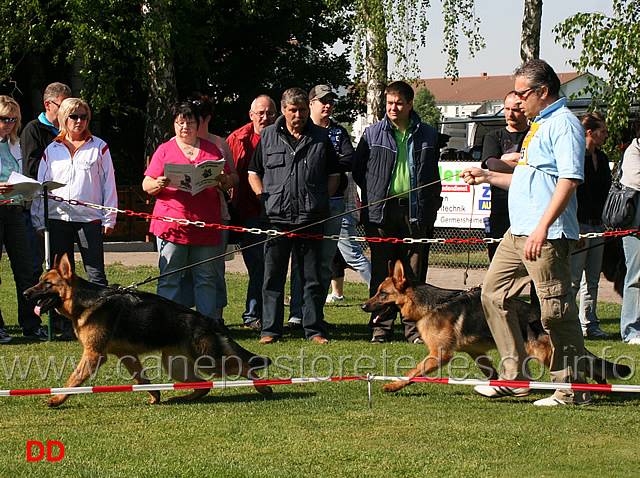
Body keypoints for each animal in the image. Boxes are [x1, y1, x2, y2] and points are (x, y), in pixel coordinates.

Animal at [23, 254, 270, 408]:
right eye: (40, 281)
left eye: (47, 284)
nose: (25, 294)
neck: (86, 301)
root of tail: (208, 320)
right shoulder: (126, 355)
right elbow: (141, 379)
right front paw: (155, 396)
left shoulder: (93, 356)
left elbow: (72, 380)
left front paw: (57, 399)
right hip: (175, 365)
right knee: (203, 386)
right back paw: (183, 398)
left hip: (208, 362)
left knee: (243, 366)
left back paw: (264, 388)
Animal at [362, 262, 628, 392]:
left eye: (382, 294)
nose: (364, 306)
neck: (431, 304)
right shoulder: (475, 352)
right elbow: (491, 373)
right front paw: (499, 386)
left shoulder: (439, 355)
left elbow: (412, 371)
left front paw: (394, 385)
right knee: (589, 364)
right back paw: (602, 386)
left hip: (545, 353)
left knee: (583, 363)